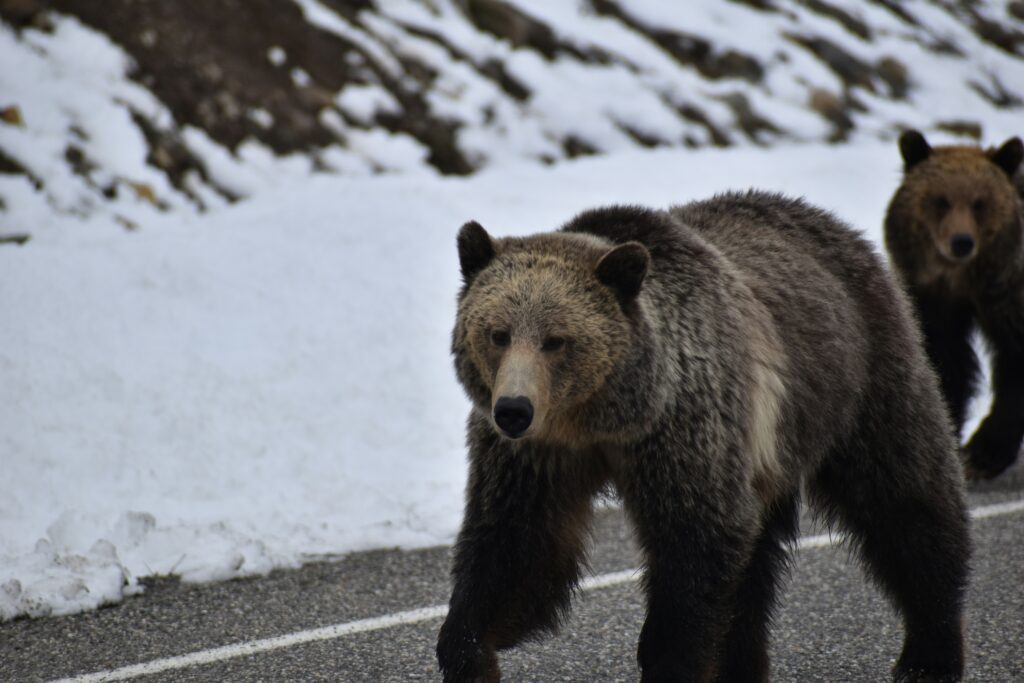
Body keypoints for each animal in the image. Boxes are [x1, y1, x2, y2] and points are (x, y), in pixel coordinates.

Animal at [436, 191, 971, 683]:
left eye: (556, 340)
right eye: (497, 333)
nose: (513, 410)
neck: (602, 416)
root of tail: (831, 222)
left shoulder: (682, 426)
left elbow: (695, 540)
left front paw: (668, 659)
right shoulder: (537, 456)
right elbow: (516, 543)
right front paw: (468, 652)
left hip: (860, 378)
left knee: (903, 497)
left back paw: (930, 653)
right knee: (757, 565)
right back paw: (745, 666)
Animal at [884, 130, 1024, 479]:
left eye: (980, 203)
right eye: (940, 200)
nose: (961, 242)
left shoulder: (1009, 296)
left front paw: (985, 453)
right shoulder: (934, 303)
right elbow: (945, 362)